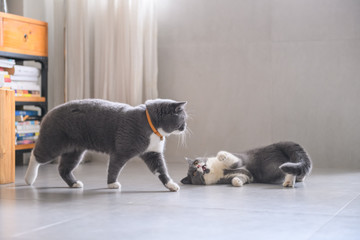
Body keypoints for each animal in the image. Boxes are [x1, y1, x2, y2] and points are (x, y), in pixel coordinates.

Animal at [24, 98, 188, 191]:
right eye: (183, 118)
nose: (185, 127)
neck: (150, 125)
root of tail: (49, 113)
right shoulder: (121, 150)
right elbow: (114, 167)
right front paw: (112, 184)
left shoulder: (152, 153)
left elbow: (161, 170)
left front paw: (171, 185)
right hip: (54, 143)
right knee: (36, 155)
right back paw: (29, 178)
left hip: (74, 151)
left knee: (63, 168)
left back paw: (74, 183)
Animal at [181, 141, 310, 188]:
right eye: (194, 173)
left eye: (196, 162)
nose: (198, 167)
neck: (216, 170)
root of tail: (278, 144)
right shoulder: (244, 175)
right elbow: (239, 178)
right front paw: (237, 182)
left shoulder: (239, 160)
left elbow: (233, 161)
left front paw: (221, 155)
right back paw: (293, 181)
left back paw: (290, 182)